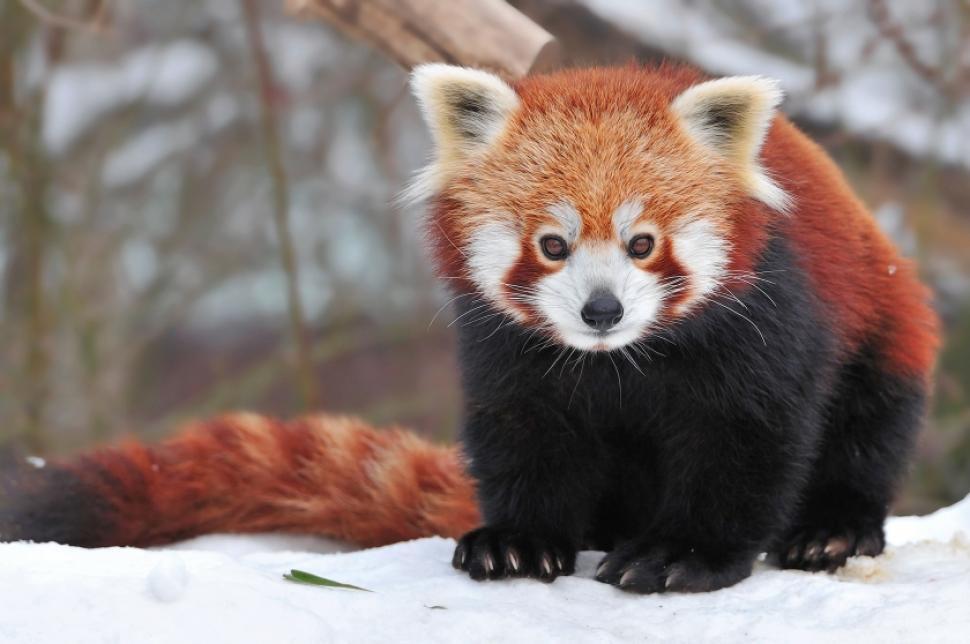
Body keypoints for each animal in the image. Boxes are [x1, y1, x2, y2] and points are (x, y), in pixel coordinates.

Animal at [1, 64, 936, 592]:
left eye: (642, 243)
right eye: (552, 245)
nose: (602, 310)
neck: (616, 362)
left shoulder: (764, 320)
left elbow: (747, 437)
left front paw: (684, 553)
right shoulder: (505, 344)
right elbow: (524, 433)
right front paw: (519, 543)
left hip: (889, 325)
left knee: (871, 424)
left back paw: (831, 527)